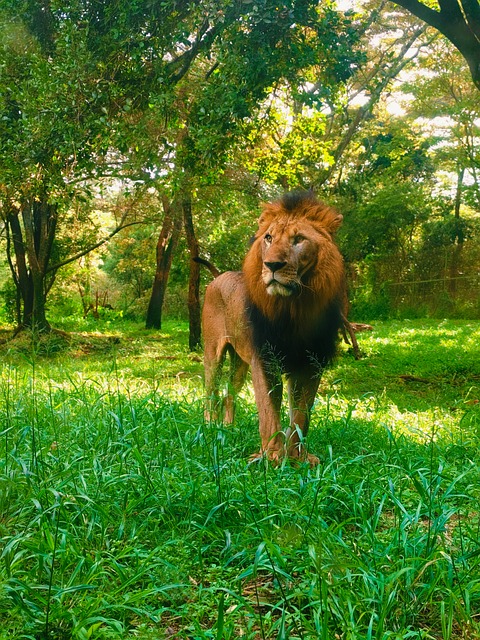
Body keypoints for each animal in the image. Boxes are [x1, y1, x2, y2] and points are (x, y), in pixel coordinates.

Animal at [200, 191, 345, 465]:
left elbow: (301, 415)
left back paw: (229, 429)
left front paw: (297, 457)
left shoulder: (311, 363)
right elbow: (268, 411)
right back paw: (211, 428)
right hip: (213, 353)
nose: (272, 265)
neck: (294, 309)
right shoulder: (265, 358)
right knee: (210, 392)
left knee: (228, 394)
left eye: (298, 240)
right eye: (268, 238)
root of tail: (218, 276)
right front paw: (271, 458)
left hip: (240, 362)